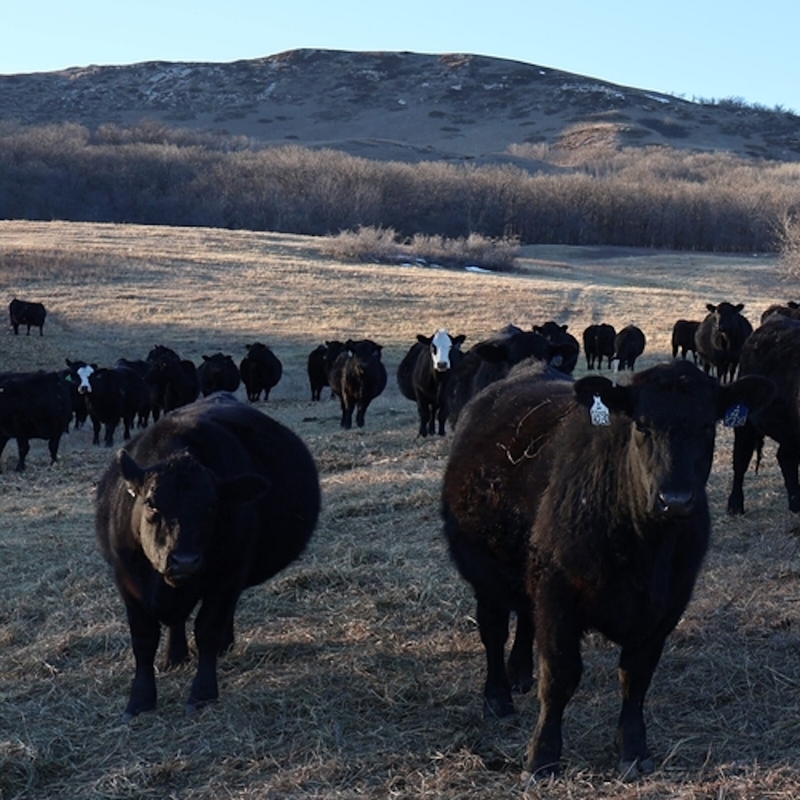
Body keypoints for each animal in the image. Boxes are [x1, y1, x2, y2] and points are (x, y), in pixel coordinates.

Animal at [95, 392, 321, 719]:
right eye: (151, 503)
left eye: (212, 506)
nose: (184, 561)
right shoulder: (127, 582)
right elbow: (144, 638)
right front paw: (140, 700)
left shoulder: (229, 573)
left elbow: (208, 629)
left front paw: (202, 693)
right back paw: (174, 656)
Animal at [441, 359, 773, 780]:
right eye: (642, 425)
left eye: (706, 427)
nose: (675, 500)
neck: (645, 549)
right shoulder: (558, 594)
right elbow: (560, 675)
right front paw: (542, 757)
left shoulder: (668, 604)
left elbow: (636, 677)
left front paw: (633, 749)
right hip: (486, 574)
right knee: (493, 631)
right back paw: (498, 697)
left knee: (525, 621)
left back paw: (520, 674)